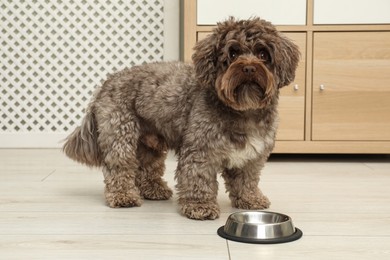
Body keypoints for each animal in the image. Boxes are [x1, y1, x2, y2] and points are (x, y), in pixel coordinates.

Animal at [64, 17, 300, 219]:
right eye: (232, 54)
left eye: (263, 54)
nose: (249, 67)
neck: (244, 110)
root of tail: (106, 83)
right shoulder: (201, 150)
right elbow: (199, 179)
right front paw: (200, 207)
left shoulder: (251, 156)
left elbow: (247, 180)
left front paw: (250, 200)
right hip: (120, 135)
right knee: (119, 166)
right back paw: (124, 196)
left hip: (149, 142)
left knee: (147, 167)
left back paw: (154, 189)